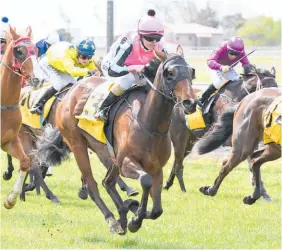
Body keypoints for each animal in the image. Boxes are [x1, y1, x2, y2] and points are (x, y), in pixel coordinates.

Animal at [34, 50, 196, 234]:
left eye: (190, 72)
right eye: (170, 74)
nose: (190, 103)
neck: (148, 122)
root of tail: (70, 91)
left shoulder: (156, 168)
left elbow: (156, 210)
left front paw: (133, 210)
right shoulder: (126, 162)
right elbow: (145, 180)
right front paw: (135, 219)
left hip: (106, 152)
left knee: (108, 182)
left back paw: (123, 213)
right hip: (77, 144)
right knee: (92, 184)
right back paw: (112, 219)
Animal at [164, 64, 276, 195]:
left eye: (276, 85)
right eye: (264, 85)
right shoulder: (230, 138)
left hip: (190, 140)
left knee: (178, 160)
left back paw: (168, 184)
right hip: (178, 135)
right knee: (178, 160)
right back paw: (180, 187)